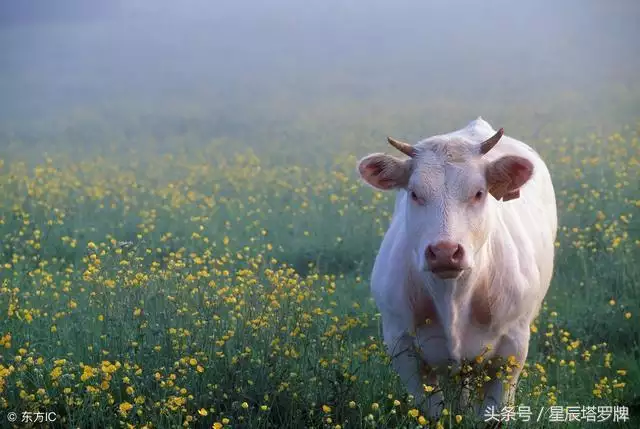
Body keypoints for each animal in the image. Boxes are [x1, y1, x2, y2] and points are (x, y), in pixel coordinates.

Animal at [358, 117, 556, 418]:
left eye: (479, 193)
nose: (444, 252)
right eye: (414, 193)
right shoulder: (401, 345)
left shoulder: (513, 347)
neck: (452, 297)